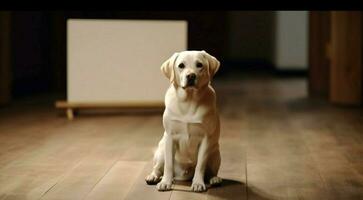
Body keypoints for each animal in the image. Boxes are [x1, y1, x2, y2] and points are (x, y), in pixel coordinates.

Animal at [145, 50, 222, 192]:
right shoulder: (170, 137)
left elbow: (200, 166)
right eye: (181, 65)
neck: (189, 101)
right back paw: (153, 177)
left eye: (199, 65)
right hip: (161, 150)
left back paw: (215, 179)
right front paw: (165, 182)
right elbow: (168, 165)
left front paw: (198, 183)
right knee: (158, 168)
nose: (191, 76)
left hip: (215, 154)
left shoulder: (206, 139)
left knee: (210, 172)